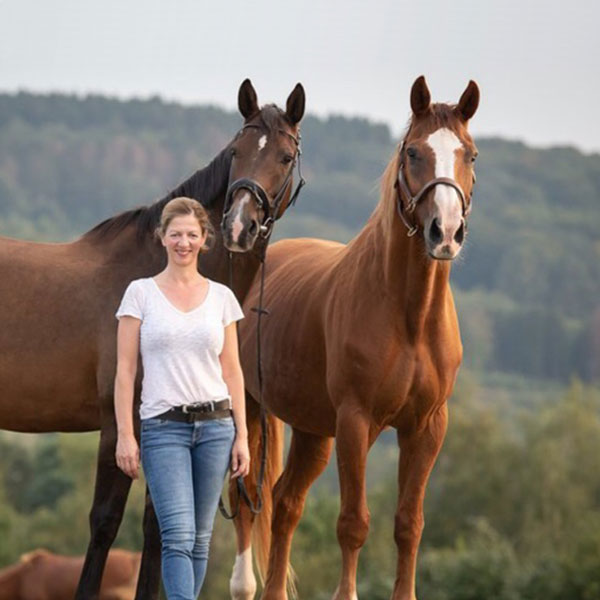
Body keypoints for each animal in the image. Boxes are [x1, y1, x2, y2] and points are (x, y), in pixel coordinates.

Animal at [237, 76, 480, 600]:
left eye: (470, 154)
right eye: (413, 152)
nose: (445, 232)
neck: (410, 318)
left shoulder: (427, 427)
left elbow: (409, 524)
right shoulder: (356, 421)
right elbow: (353, 523)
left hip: (312, 430)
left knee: (285, 503)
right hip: (250, 412)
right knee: (247, 498)